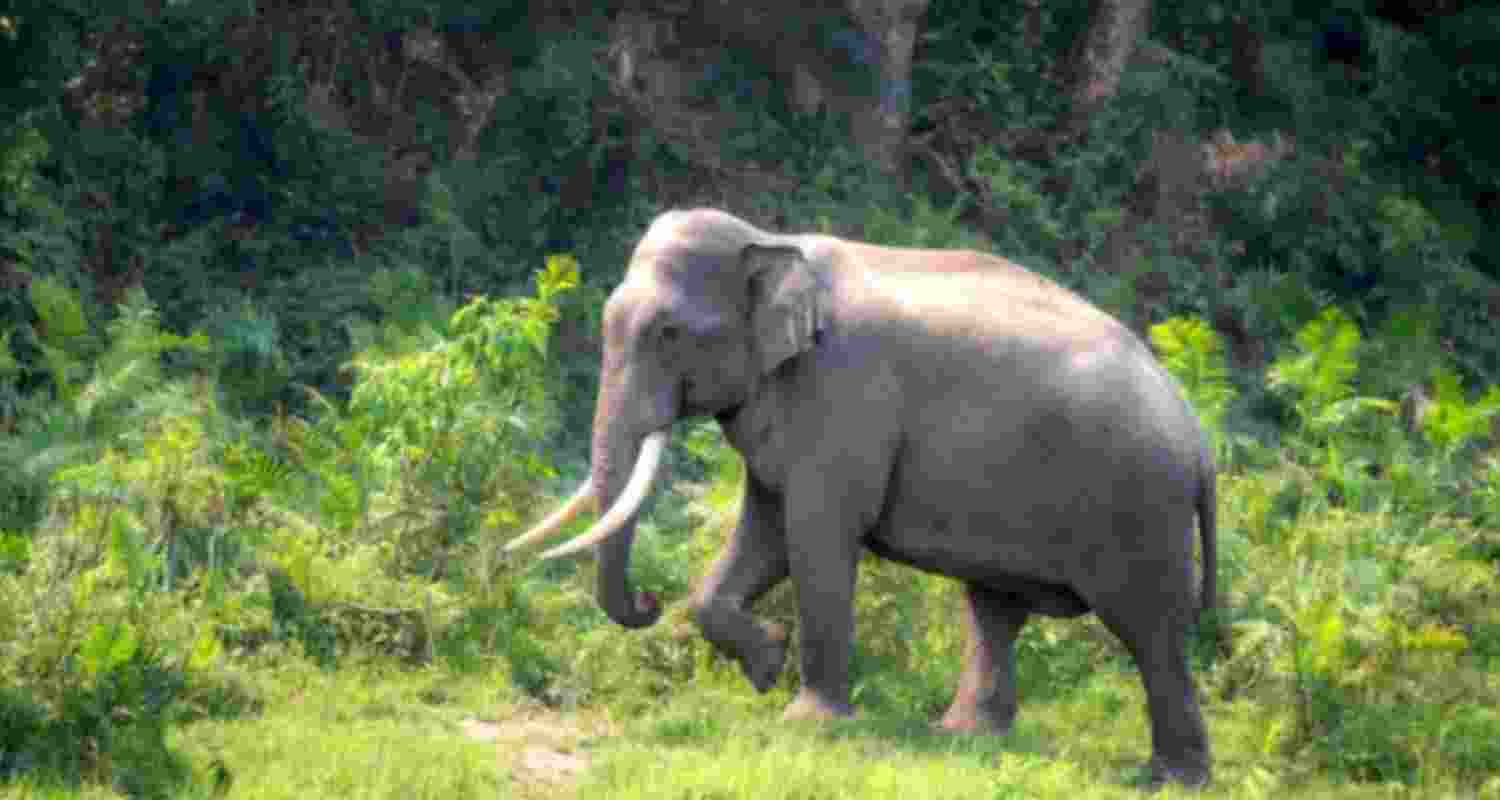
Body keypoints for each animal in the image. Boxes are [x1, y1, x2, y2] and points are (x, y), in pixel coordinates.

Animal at [507, 208, 1217, 786]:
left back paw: (1166, 778)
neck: (772, 241)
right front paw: (766, 665)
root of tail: (1198, 435)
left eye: (669, 334)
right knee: (995, 608)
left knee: (1149, 631)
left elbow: (816, 538)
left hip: (1140, 506)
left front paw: (808, 723)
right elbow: (764, 531)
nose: (649, 602)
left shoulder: (842, 395)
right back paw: (962, 738)